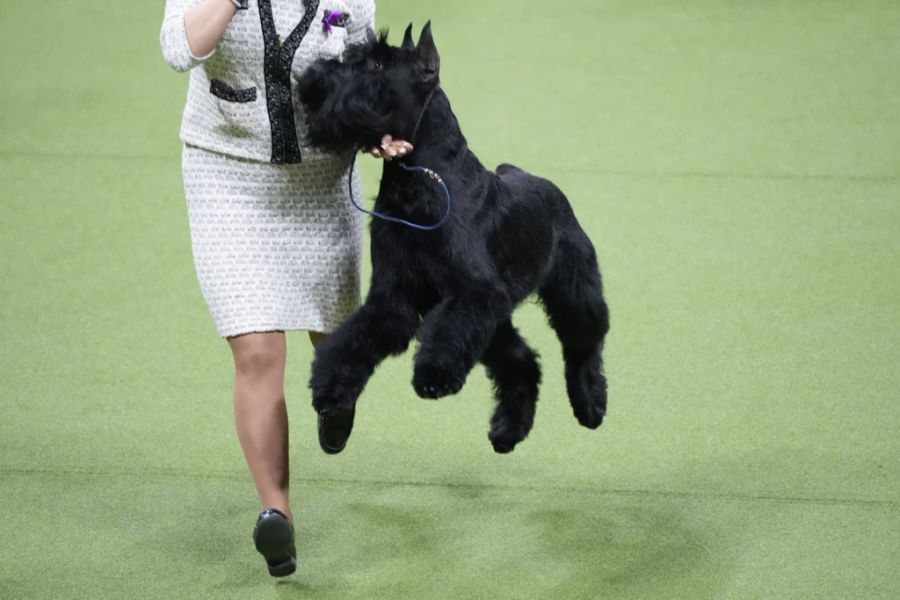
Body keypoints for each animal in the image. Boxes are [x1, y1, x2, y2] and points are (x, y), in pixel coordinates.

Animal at [298, 24, 608, 454]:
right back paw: (507, 431)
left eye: (377, 65)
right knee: (522, 362)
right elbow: (352, 341)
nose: (311, 78)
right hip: (495, 326)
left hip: (572, 292)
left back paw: (590, 404)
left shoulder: (474, 294)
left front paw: (433, 375)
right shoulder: (395, 297)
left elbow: (445, 336)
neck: (419, 180)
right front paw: (330, 387)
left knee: (584, 344)